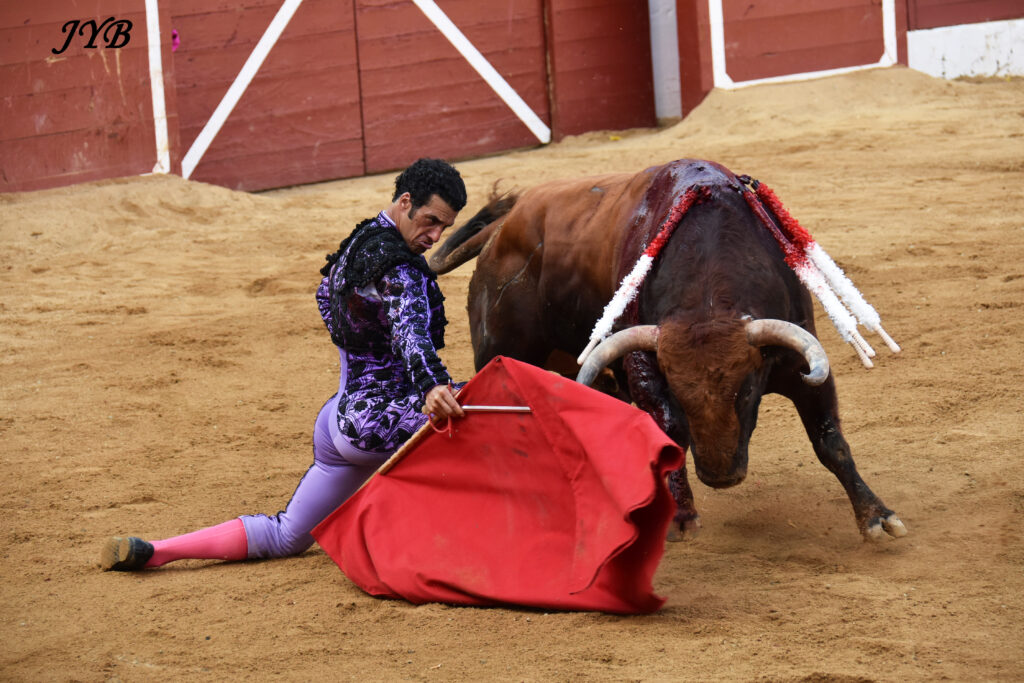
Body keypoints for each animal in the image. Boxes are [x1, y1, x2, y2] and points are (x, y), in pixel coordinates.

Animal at [429, 159, 907, 543]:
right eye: (681, 393)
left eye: (748, 392)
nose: (720, 477)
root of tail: (502, 228)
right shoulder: (644, 363)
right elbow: (670, 430)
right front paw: (682, 516)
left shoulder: (800, 363)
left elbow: (830, 440)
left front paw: (877, 517)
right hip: (500, 351)